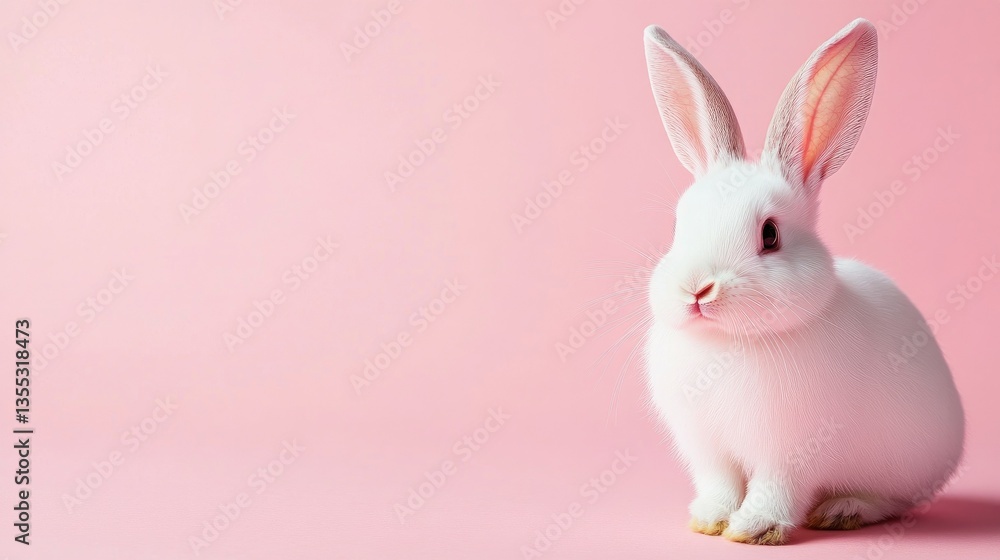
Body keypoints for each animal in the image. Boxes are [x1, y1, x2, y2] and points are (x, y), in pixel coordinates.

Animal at [641, 19, 965, 545]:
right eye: (676, 227)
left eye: (770, 234)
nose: (697, 290)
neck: (728, 343)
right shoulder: (709, 450)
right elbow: (720, 485)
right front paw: (709, 521)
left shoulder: (791, 452)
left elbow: (775, 489)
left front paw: (754, 530)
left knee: (893, 500)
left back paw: (843, 510)